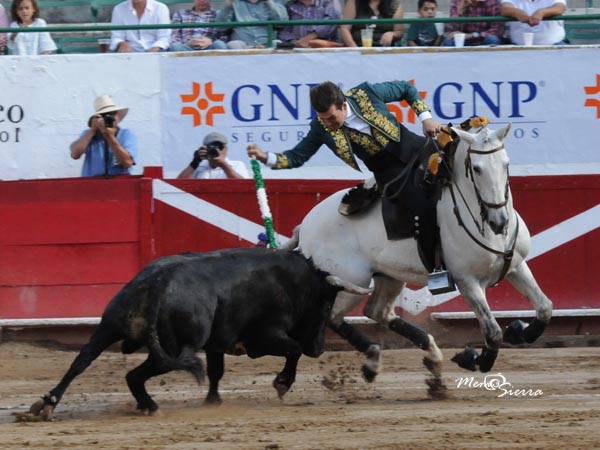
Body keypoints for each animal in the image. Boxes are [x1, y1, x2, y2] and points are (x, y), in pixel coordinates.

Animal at [29, 248, 370, 420]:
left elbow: (217, 371)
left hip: (108, 327)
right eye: (327, 303)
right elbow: (294, 349)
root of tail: (157, 280)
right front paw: (282, 384)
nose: (320, 347)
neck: (295, 282)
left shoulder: (217, 343)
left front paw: (212, 400)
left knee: (82, 361)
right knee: (136, 374)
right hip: (175, 348)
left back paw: (47, 404)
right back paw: (149, 406)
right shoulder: (265, 337)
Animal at [286, 122, 552, 384]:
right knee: (333, 316)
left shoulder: (515, 266)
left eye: (506, 163)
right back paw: (373, 360)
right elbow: (493, 331)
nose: (500, 221)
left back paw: (429, 356)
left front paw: (518, 331)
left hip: (389, 275)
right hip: (349, 281)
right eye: (476, 169)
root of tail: (306, 225)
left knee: (377, 310)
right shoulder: (467, 281)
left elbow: (544, 307)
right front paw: (474, 358)